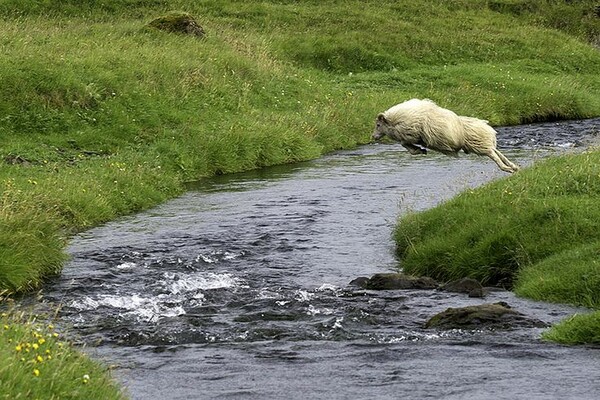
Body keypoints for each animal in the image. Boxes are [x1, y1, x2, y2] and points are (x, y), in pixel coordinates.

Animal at [372, 99, 516, 173]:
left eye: (378, 124)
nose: (373, 137)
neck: (394, 122)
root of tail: (487, 128)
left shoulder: (411, 133)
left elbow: (403, 143)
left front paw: (419, 150)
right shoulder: (411, 136)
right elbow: (405, 145)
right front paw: (419, 150)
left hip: (479, 144)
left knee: (493, 155)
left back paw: (507, 168)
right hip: (481, 144)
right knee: (496, 151)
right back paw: (513, 166)